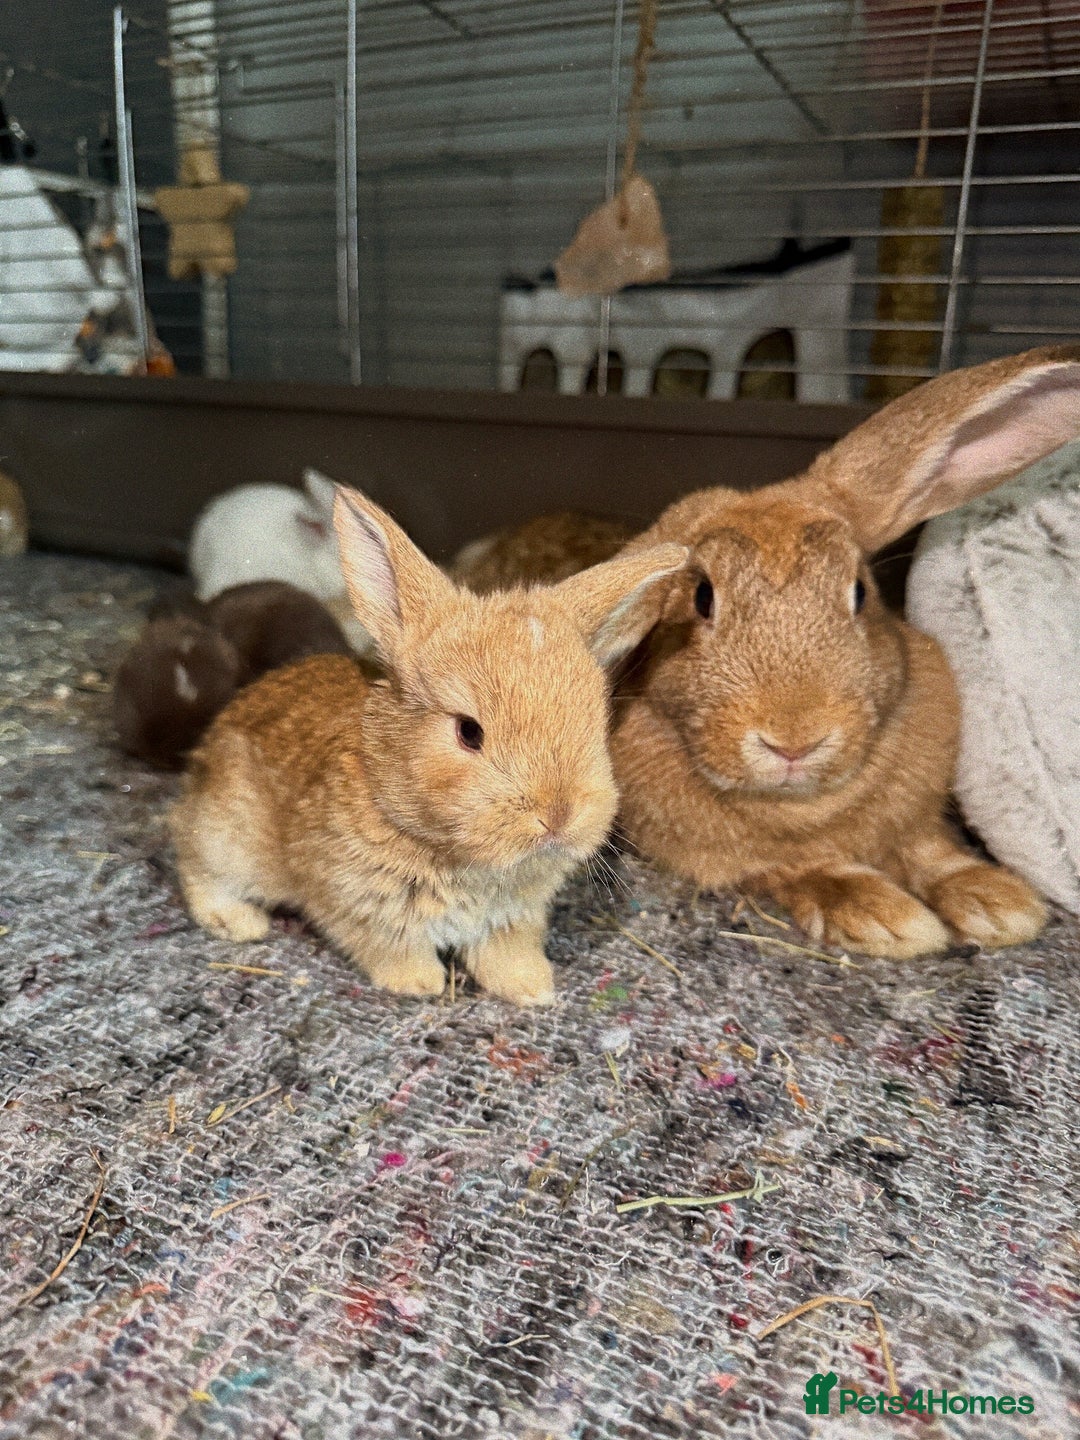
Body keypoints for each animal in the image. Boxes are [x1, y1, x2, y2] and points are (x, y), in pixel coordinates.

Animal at [170, 484, 686, 1005]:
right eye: (469, 731)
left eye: (596, 722)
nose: (558, 816)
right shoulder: (356, 904)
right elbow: (388, 945)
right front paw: (420, 984)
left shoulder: (512, 919)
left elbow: (505, 951)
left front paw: (533, 988)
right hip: (226, 838)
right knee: (195, 866)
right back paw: (239, 923)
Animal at [457, 345, 1080, 958]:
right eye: (702, 598)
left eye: (859, 592)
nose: (794, 740)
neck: (805, 803)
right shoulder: (740, 859)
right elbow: (802, 868)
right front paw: (882, 915)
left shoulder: (918, 821)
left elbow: (931, 851)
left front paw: (996, 902)